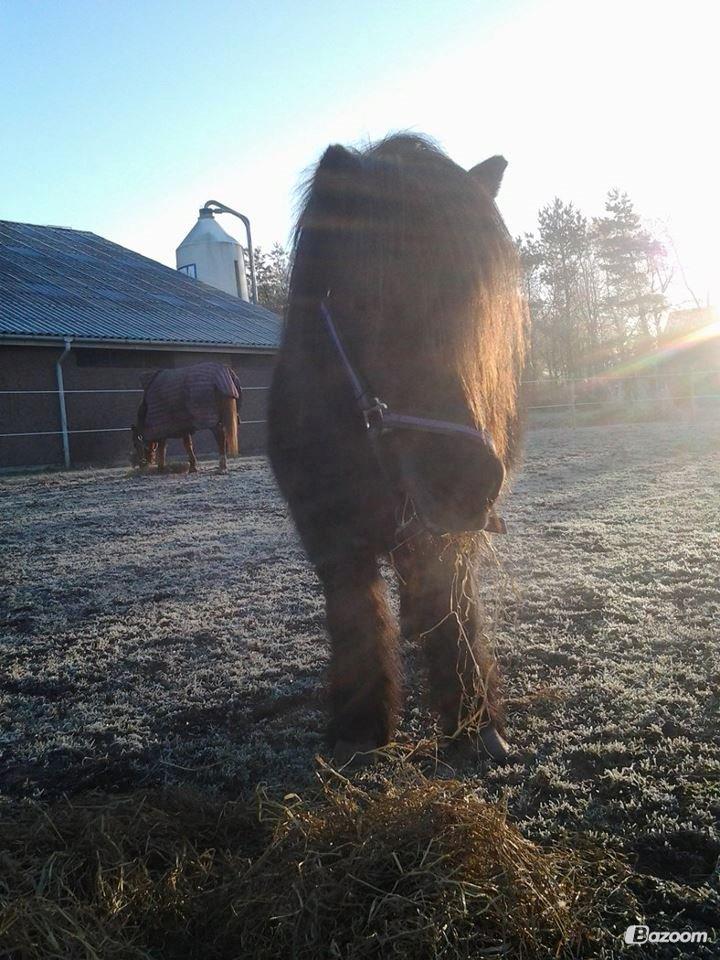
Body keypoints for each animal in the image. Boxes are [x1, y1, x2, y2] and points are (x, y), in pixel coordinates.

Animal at [268, 137, 524, 764]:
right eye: (365, 303)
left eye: (474, 312)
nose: (467, 482)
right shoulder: (331, 538)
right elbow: (356, 618)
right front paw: (360, 727)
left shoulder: (437, 538)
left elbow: (452, 610)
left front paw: (474, 722)